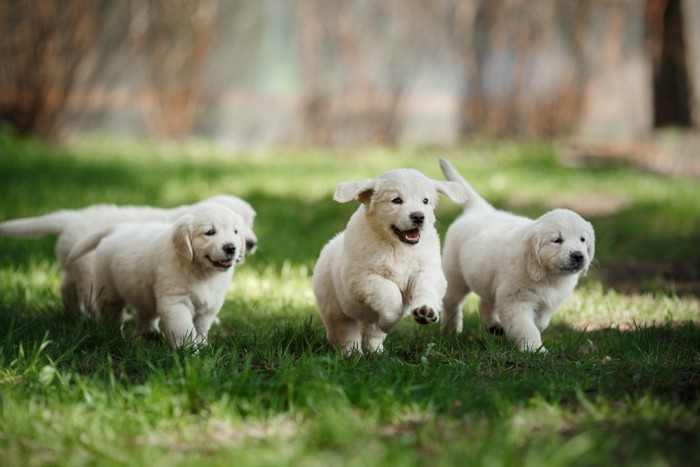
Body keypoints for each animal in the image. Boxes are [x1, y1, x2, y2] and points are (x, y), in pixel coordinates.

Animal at [0, 196, 258, 316]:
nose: (251, 244)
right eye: (212, 232)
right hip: (89, 268)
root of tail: (71, 218)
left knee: (66, 287)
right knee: (88, 293)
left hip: (75, 265)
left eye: (250, 222)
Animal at [66, 203, 246, 350]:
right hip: (108, 290)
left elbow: (201, 327)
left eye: (236, 232)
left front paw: (202, 345)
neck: (201, 271)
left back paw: (151, 335)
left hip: (142, 291)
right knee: (111, 314)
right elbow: (184, 328)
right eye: (210, 232)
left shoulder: (210, 306)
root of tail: (118, 229)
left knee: (144, 314)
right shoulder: (176, 302)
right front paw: (188, 351)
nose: (231, 248)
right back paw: (115, 335)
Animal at [314, 168, 468, 354]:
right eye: (396, 200)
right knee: (345, 333)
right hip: (335, 308)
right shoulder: (360, 278)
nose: (418, 216)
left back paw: (377, 352)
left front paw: (425, 311)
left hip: (366, 319)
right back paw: (353, 354)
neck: (398, 247)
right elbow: (389, 291)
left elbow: (426, 287)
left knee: (372, 334)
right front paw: (391, 322)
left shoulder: (427, 270)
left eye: (425, 201)